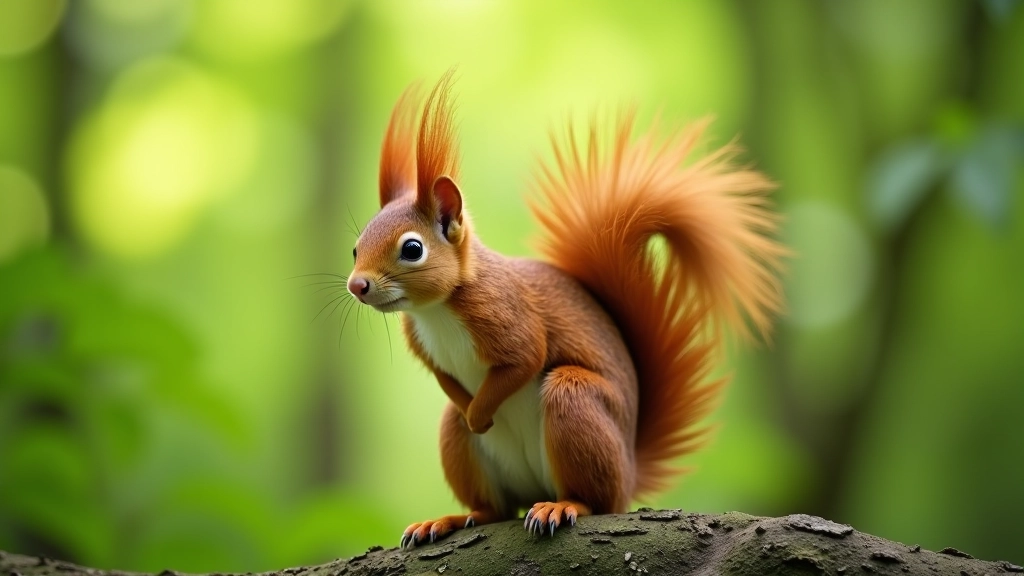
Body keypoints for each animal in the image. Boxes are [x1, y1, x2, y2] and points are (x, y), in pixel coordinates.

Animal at [346, 71, 785, 548]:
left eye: (412, 249)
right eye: (355, 247)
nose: (356, 285)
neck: (438, 311)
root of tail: (628, 472)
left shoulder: (508, 316)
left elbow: (526, 358)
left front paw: (479, 413)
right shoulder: (425, 348)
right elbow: (447, 379)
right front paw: (470, 411)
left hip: (574, 402)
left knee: (592, 497)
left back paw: (563, 504)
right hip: (465, 451)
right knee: (493, 506)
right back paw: (450, 518)